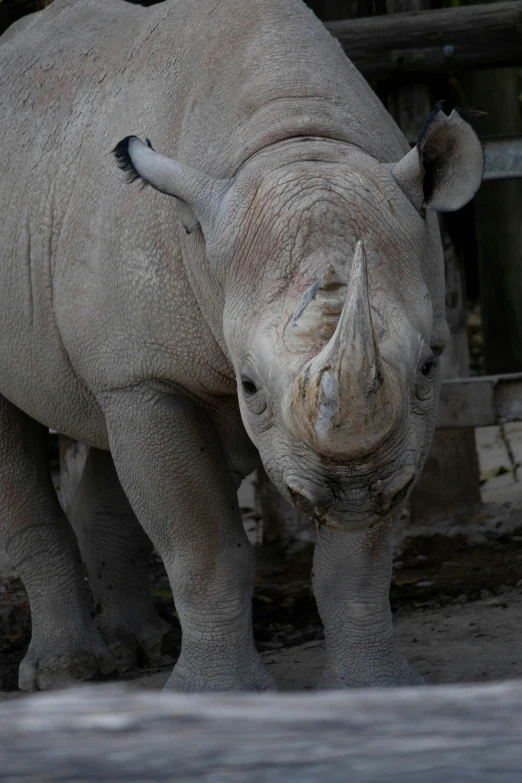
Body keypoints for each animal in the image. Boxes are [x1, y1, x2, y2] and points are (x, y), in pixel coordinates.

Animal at [0, 0, 480, 692]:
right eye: (249, 384)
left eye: (425, 367)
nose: (352, 487)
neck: (295, 144)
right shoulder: (148, 378)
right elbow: (203, 545)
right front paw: (217, 695)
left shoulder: (413, 395)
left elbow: (359, 560)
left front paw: (374, 688)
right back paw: (70, 674)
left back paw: (138, 648)